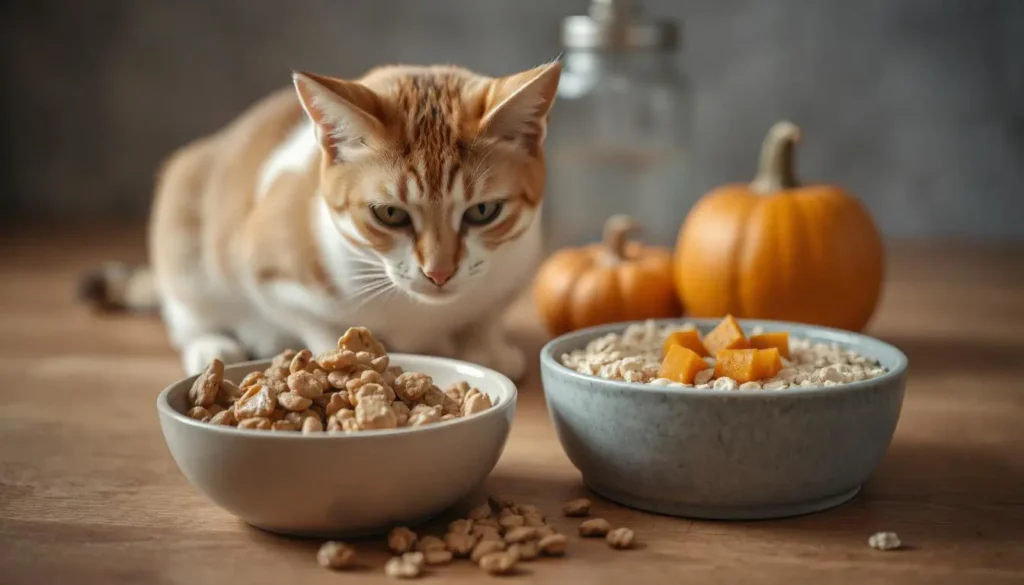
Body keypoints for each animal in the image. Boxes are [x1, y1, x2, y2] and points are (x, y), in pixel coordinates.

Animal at [77, 61, 561, 383]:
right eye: (390, 214)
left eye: (483, 211)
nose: (439, 273)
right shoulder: (268, 271)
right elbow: (319, 325)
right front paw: (335, 356)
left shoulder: (516, 267)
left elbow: (484, 315)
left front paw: (485, 349)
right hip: (186, 236)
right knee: (184, 313)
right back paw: (213, 344)